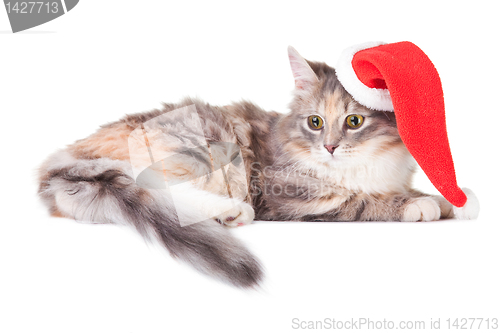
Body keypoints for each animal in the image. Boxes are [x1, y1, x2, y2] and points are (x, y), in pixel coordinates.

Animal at [38, 46, 454, 288]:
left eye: (354, 122)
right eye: (315, 122)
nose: (330, 147)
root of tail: (69, 155)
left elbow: (405, 189)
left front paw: (448, 201)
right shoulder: (288, 193)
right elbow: (360, 200)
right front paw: (418, 205)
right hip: (200, 148)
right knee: (163, 191)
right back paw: (230, 212)